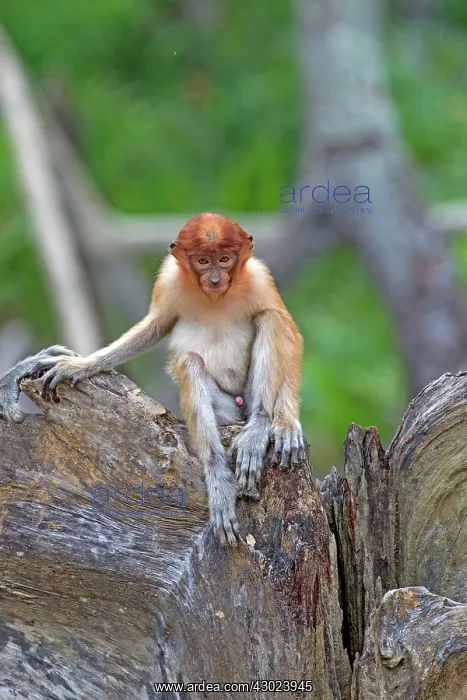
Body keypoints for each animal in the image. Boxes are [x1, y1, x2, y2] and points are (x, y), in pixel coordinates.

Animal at [0, 213, 304, 546]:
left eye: (224, 260)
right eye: (202, 261)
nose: (214, 280)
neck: (214, 298)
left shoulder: (260, 279)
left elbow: (289, 330)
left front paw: (287, 424)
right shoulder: (168, 282)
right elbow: (153, 327)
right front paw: (78, 366)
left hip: (245, 401)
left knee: (269, 320)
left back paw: (259, 427)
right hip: (226, 410)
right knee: (190, 363)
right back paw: (219, 477)